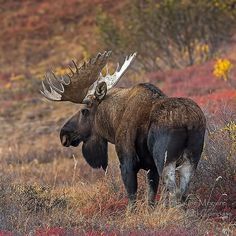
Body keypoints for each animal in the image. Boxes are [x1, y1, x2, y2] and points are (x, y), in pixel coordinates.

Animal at [41, 50, 206, 207]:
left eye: (84, 111)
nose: (64, 134)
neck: (112, 123)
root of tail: (187, 123)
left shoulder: (127, 161)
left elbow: (132, 199)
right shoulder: (151, 167)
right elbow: (150, 198)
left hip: (165, 159)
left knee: (173, 192)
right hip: (191, 159)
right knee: (183, 193)